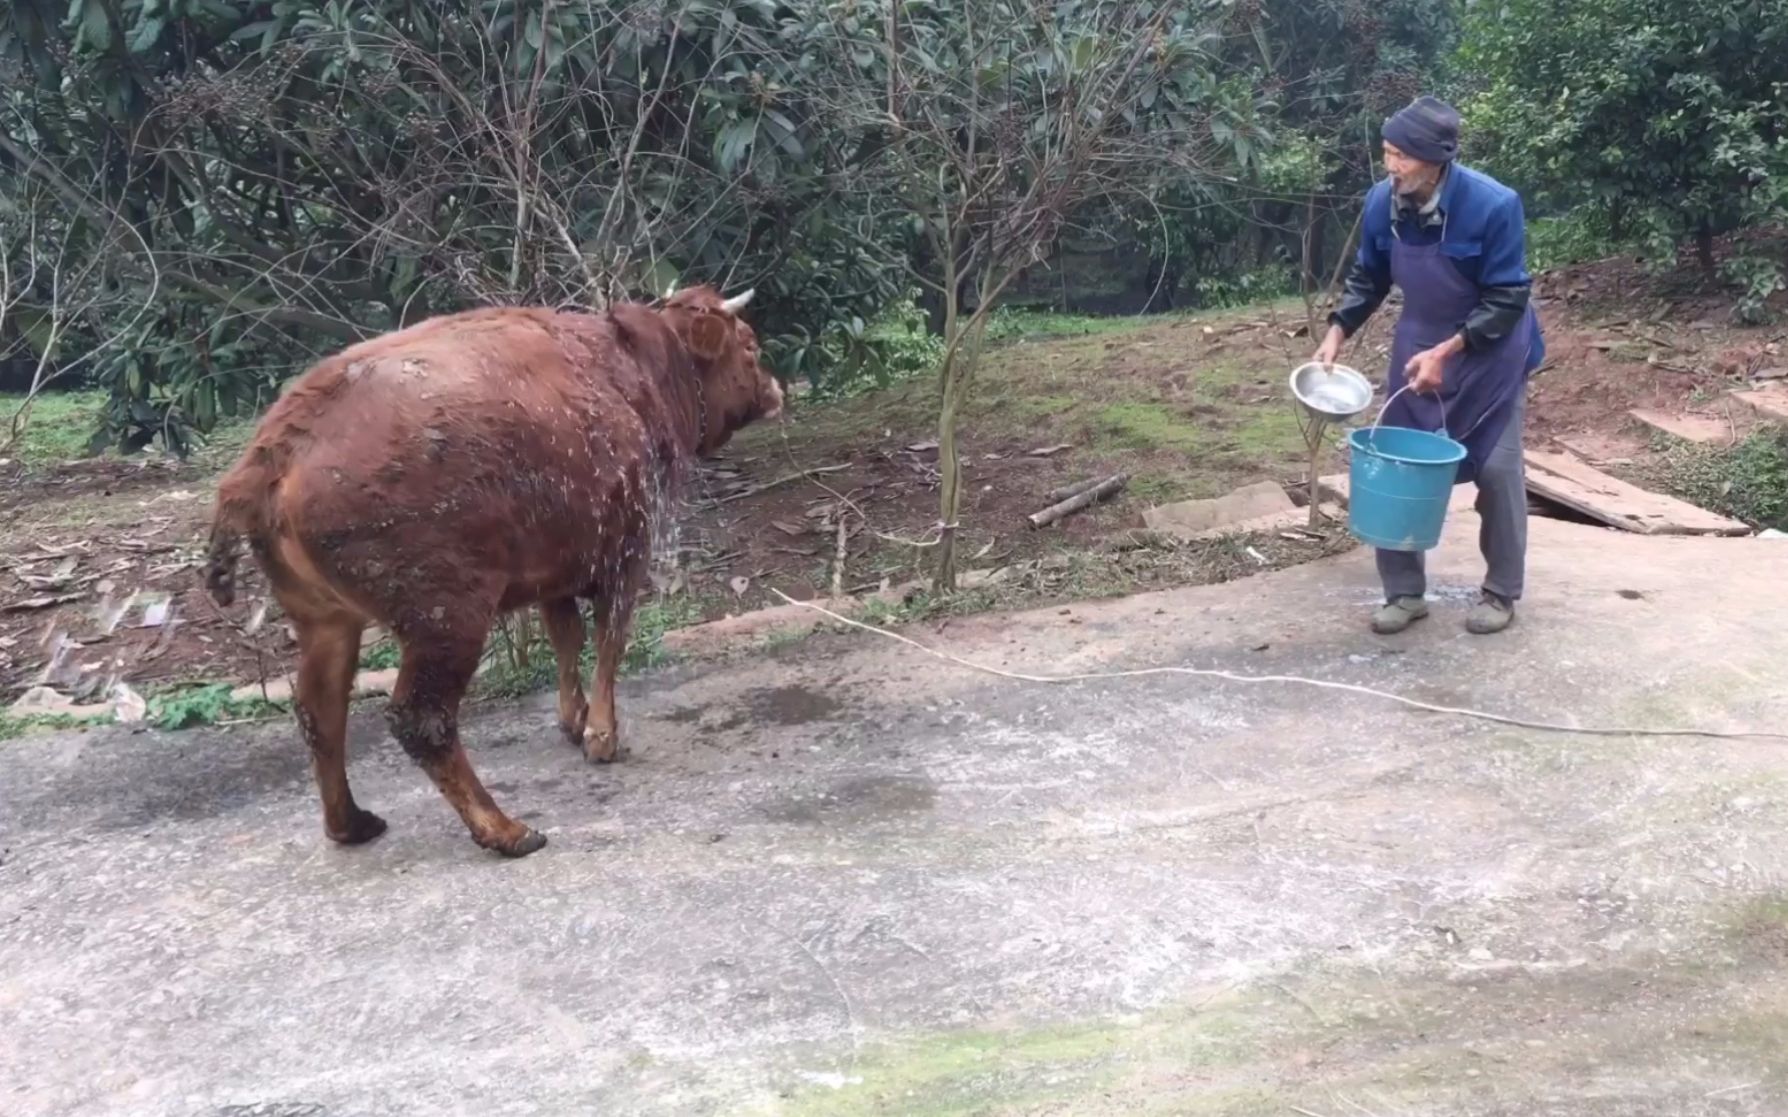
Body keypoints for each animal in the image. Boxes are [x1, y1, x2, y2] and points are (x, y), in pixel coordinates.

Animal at [202, 285, 783, 854]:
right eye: (748, 345)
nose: (776, 388)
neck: (632, 364)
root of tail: (277, 446)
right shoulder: (625, 552)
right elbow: (609, 640)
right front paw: (601, 735)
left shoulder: (558, 568)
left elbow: (566, 638)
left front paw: (572, 719)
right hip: (448, 620)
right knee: (421, 720)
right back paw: (505, 830)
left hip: (327, 620)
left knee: (319, 711)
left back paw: (353, 823)